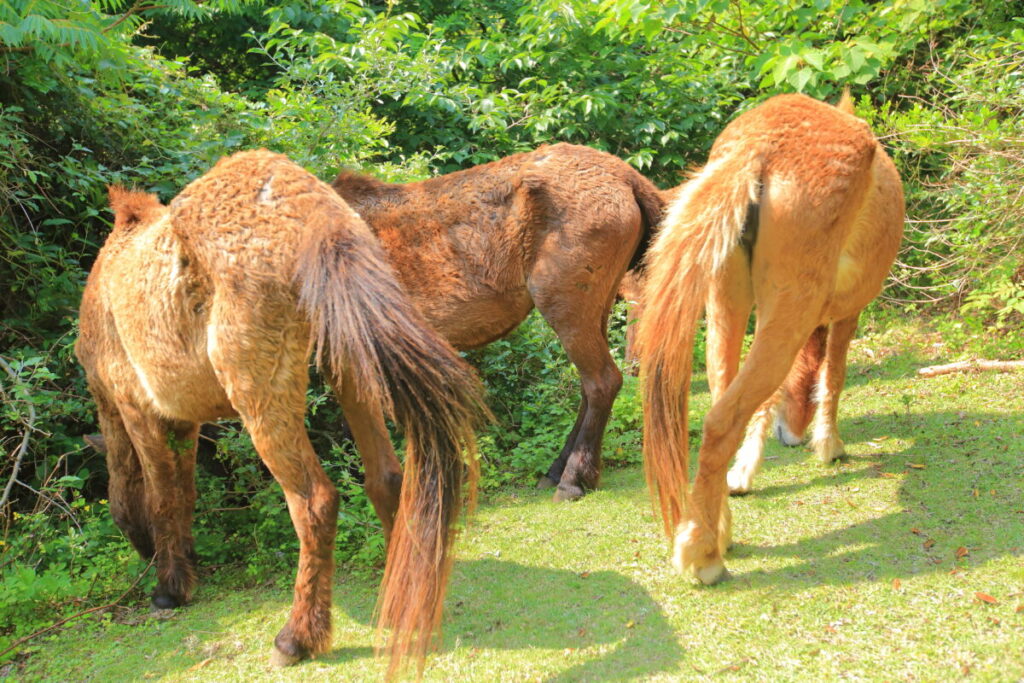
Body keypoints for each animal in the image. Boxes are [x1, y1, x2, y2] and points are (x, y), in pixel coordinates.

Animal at [75, 149, 486, 674]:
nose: (146, 556)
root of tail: (312, 208)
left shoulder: (138, 411)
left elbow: (159, 496)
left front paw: (170, 587)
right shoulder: (184, 423)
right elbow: (184, 495)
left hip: (262, 394)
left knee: (314, 501)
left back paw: (298, 637)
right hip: (347, 364)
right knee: (387, 477)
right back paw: (395, 602)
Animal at [331, 143, 664, 501]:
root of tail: (629, 177)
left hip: (564, 303)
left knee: (602, 381)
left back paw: (573, 480)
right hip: (598, 304)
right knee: (589, 385)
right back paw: (557, 471)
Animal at [637, 93, 904, 584]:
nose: (791, 436)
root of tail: (758, 145)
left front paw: (747, 468)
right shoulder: (846, 314)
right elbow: (834, 377)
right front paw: (828, 445)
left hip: (727, 303)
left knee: (722, 400)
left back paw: (717, 528)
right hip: (786, 313)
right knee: (723, 419)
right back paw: (703, 553)